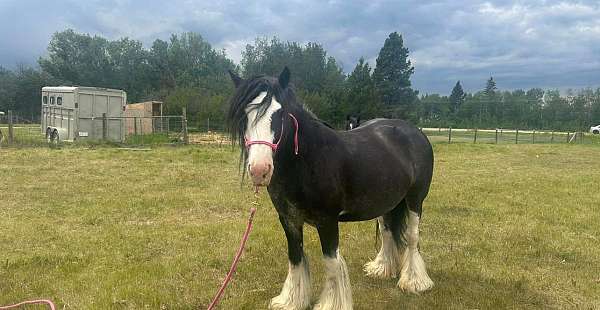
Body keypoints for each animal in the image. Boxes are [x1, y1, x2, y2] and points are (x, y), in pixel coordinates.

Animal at [227, 68, 434, 310]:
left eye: (280, 114)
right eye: (245, 115)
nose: (259, 170)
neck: (309, 159)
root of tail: (415, 132)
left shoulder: (327, 221)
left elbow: (332, 263)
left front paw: (331, 304)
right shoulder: (288, 219)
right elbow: (295, 256)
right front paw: (291, 301)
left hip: (415, 200)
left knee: (412, 236)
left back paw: (414, 281)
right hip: (387, 203)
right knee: (387, 231)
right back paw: (382, 268)